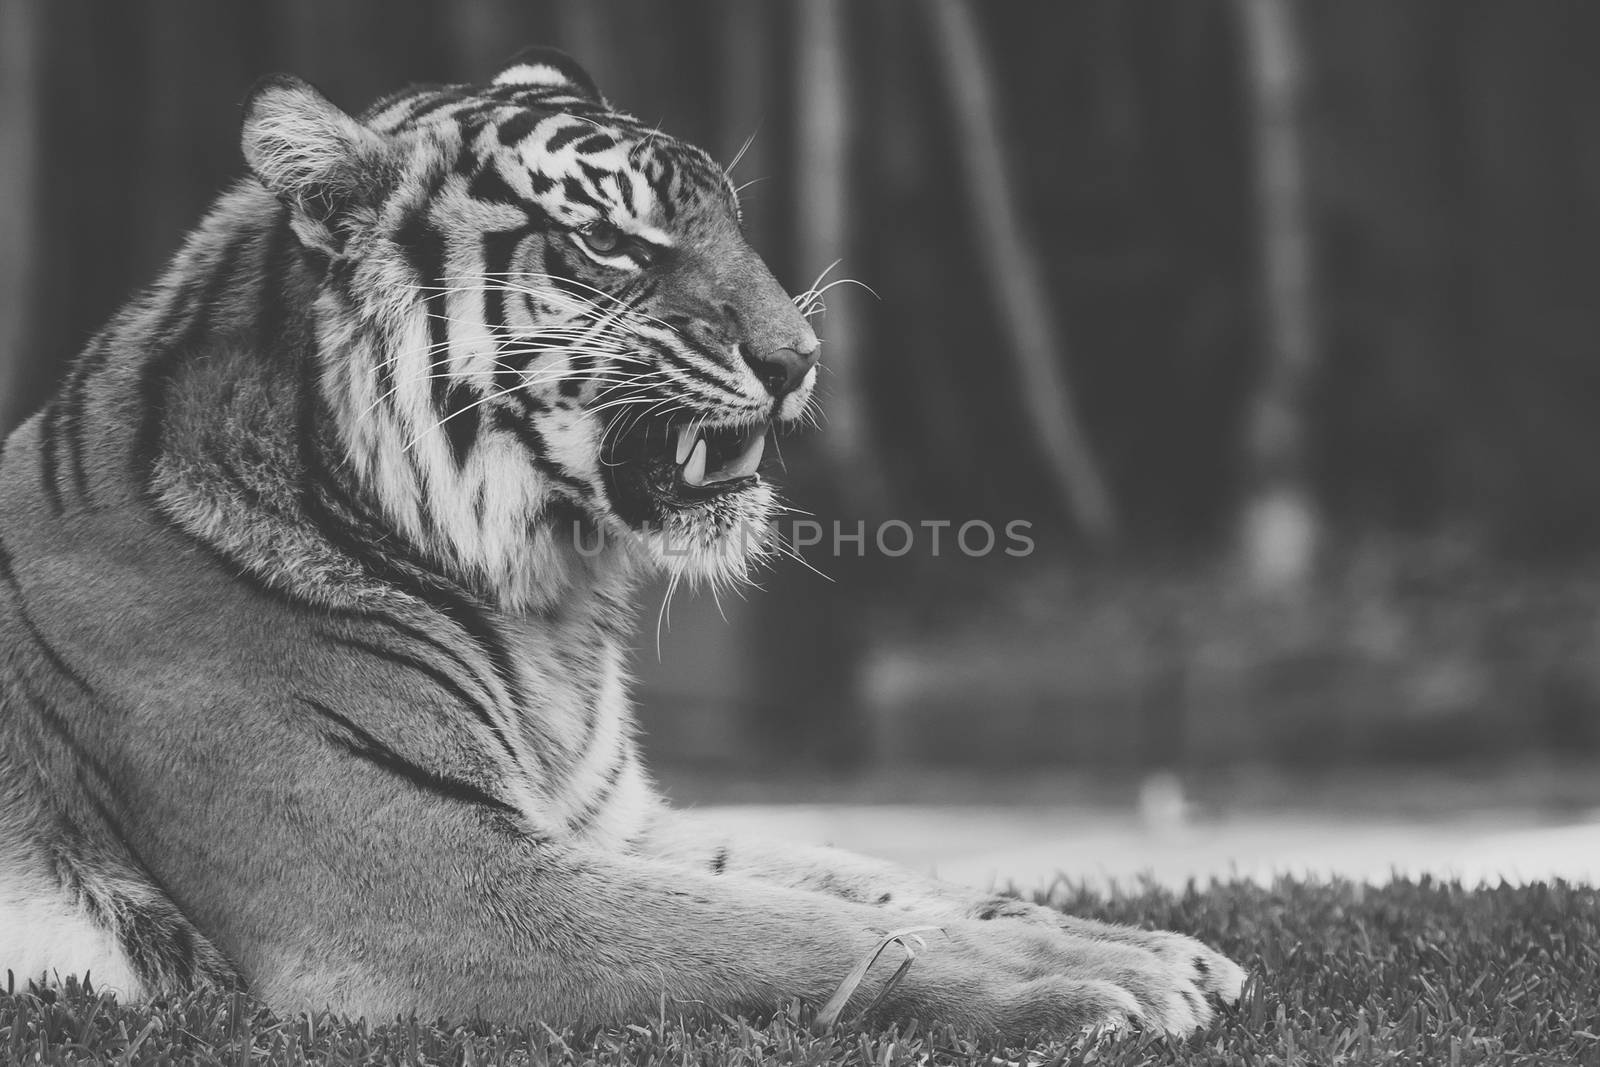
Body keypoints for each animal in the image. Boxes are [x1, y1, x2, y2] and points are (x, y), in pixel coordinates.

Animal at [0, 49, 1248, 1043]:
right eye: (606, 240)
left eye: (728, 221)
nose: (799, 358)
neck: (539, 610)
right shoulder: (423, 876)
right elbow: (799, 926)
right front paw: (1084, 990)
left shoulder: (612, 821)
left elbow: (876, 875)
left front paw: (1144, 945)